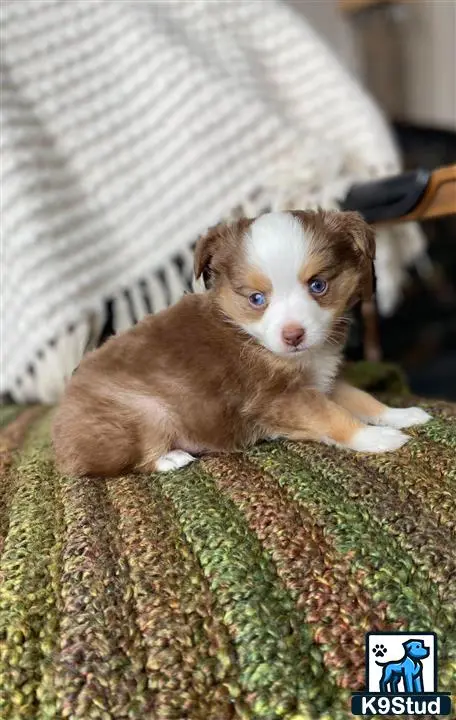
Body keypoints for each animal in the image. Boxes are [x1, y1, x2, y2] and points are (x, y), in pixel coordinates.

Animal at [52, 210, 432, 478]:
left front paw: (399, 415)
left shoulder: (322, 380)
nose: (293, 335)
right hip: (145, 411)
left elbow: (361, 398)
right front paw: (376, 438)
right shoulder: (280, 397)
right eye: (256, 298)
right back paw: (170, 457)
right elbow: (334, 416)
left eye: (318, 285)